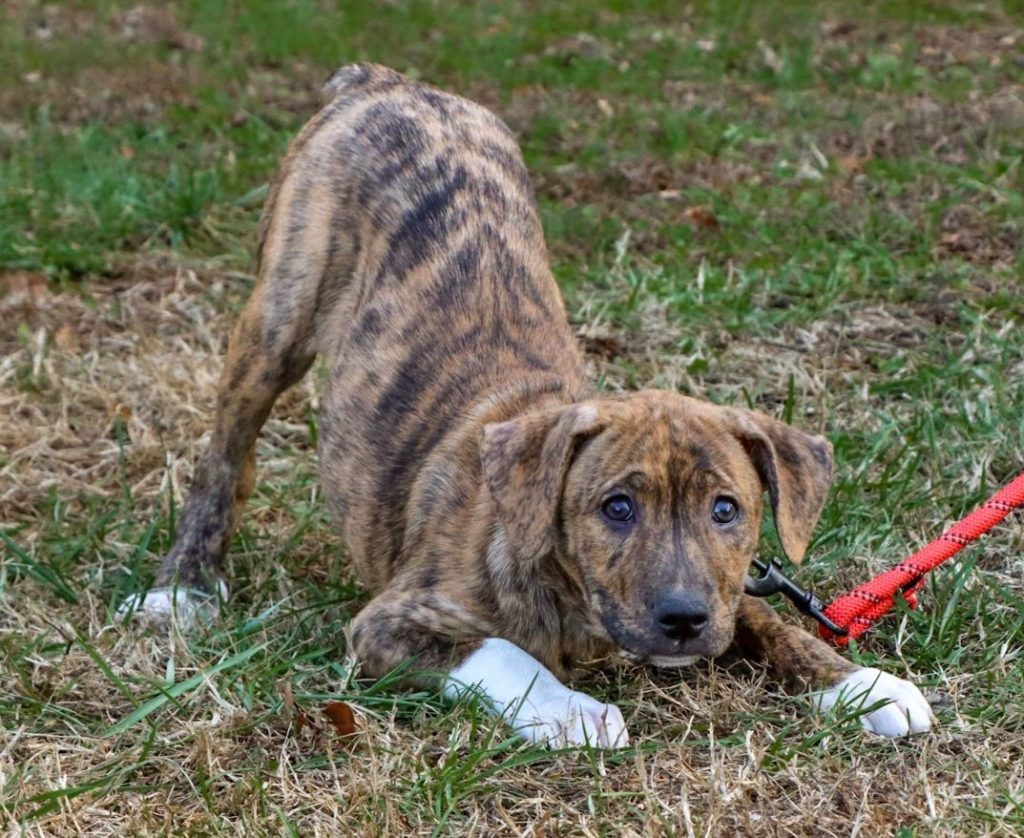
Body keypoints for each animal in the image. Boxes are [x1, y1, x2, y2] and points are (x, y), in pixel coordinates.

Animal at [121, 65, 937, 745]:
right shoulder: (391, 621)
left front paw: (863, 686)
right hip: (280, 311)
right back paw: (183, 587)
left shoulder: (729, 597)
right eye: (616, 508)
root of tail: (391, 83)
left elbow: (772, 623)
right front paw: (574, 712)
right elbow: (504, 653)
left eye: (726, 509)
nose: (682, 620)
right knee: (226, 449)